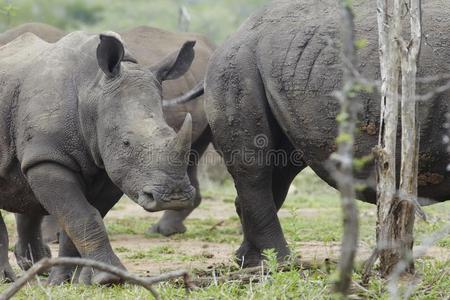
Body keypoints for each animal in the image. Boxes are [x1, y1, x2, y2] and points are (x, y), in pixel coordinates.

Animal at [0, 29, 197, 284]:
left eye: (172, 133)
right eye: (126, 143)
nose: (174, 197)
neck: (91, 91)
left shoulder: (111, 167)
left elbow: (79, 221)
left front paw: (69, 280)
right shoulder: (48, 157)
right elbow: (83, 216)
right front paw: (109, 278)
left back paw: (36, 270)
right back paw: (10, 279)